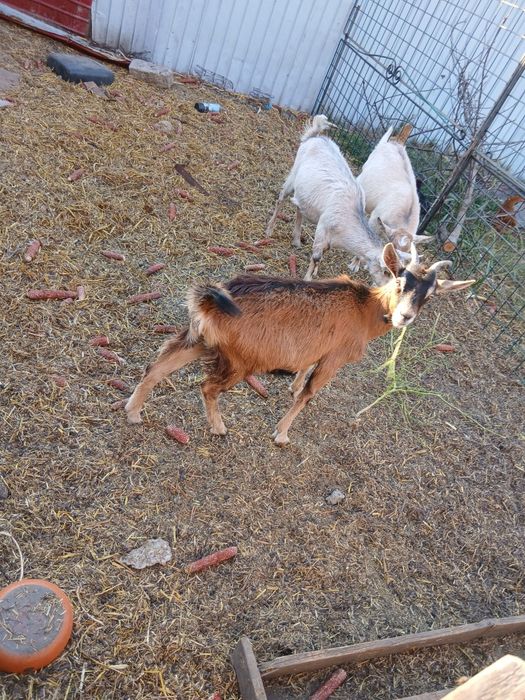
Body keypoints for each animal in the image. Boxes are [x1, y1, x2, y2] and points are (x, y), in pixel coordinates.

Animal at [125, 243, 475, 446]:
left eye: (430, 296)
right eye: (400, 281)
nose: (404, 316)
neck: (364, 309)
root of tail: (211, 301)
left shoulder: (318, 350)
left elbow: (304, 370)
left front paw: (292, 387)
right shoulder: (335, 358)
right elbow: (309, 394)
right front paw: (281, 434)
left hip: (200, 339)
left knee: (158, 364)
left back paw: (133, 412)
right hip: (239, 361)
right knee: (207, 387)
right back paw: (219, 428)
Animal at [265, 115, 409, 284]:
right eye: (386, 271)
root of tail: (315, 136)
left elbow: (323, 253)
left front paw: (314, 272)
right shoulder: (323, 227)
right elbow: (317, 256)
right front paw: (308, 279)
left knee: (300, 207)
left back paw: (296, 240)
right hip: (293, 175)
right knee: (281, 199)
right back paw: (269, 230)